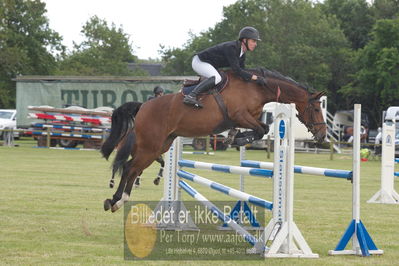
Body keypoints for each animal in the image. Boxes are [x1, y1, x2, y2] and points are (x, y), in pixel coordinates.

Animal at [101, 68, 328, 212]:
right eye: (317, 108)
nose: (323, 135)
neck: (257, 89)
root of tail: (143, 106)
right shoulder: (240, 115)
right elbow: (261, 129)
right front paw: (238, 139)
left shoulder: (248, 118)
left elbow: (261, 129)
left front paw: (235, 138)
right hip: (151, 146)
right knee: (130, 168)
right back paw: (115, 200)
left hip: (160, 146)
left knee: (132, 167)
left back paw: (119, 200)